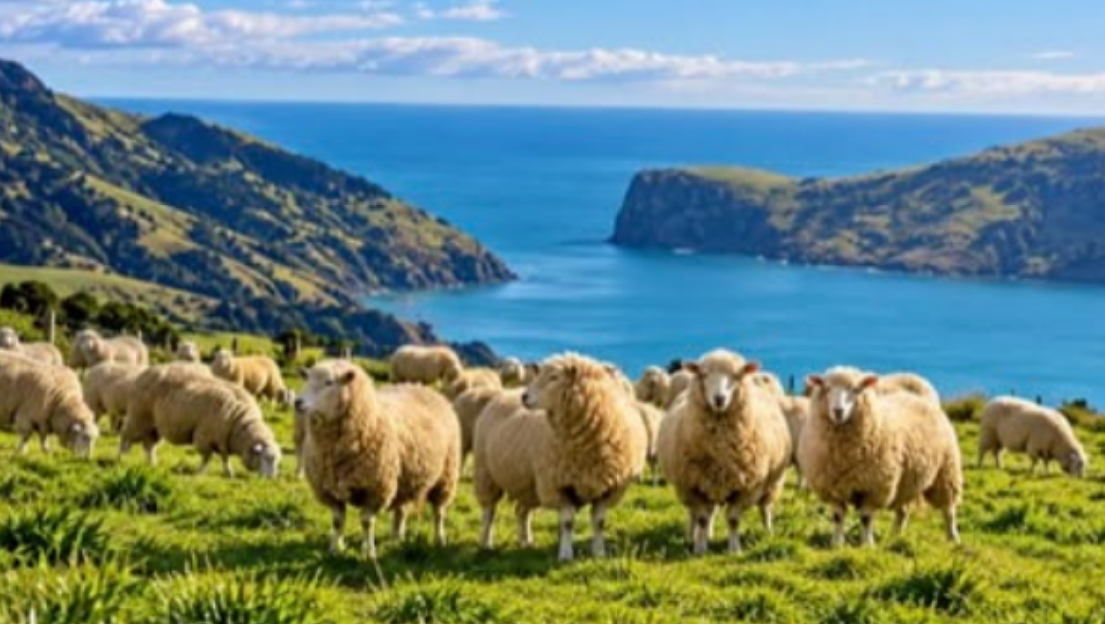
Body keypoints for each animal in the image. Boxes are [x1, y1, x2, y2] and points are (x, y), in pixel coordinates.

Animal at [120, 363, 280, 477]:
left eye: (276, 461)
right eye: (267, 458)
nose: (272, 479)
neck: (240, 423)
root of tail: (144, 373)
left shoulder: (223, 439)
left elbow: (225, 457)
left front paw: (229, 472)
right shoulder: (205, 436)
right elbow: (207, 457)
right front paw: (200, 473)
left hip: (153, 426)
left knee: (149, 446)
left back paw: (151, 464)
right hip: (138, 418)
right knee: (126, 436)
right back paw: (121, 457)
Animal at [297, 359, 461, 559]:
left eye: (329, 382)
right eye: (307, 378)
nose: (297, 402)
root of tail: (423, 387)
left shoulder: (375, 489)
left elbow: (367, 522)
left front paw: (369, 553)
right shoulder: (329, 490)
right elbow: (337, 521)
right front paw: (335, 549)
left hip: (446, 475)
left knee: (439, 511)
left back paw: (439, 539)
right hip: (406, 478)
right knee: (401, 510)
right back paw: (397, 538)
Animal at [475, 353, 648, 561]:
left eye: (554, 377)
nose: (524, 397)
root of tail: (505, 394)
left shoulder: (607, 487)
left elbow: (599, 522)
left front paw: (599, 553)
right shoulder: (561, 484)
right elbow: (567, 523)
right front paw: (565, 555)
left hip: (527, 483)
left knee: (522, 512)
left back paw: (526, 542)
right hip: (486, 473)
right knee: (489, 512)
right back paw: (486, 544)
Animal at [657, 350, 791, 555]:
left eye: (737, 375)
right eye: (704, 375)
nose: (719, 399)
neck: (720, 448)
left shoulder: (747, 487)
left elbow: (733, 520)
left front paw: (734, 549)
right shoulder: (694, 485)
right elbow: (702, 518)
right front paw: (700, 549)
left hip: (771, 484)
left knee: (765, 508)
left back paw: (768, 533)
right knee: (696, 514)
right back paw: (694, 535)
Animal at [799, 366, 963, 547]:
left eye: (855, 389)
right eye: (827, 389)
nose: (838, 411)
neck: (844, 454)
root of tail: (917, 397)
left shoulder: (874, 487)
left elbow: (866, 518)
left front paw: (867, 545)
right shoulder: (832, 488)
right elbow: (838, 517)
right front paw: (836, 544)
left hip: (946, 470)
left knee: (948, 509)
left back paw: (953, 537)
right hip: (905, 482)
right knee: (903, 511)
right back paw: (894, 537)